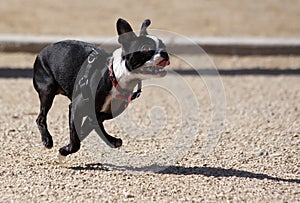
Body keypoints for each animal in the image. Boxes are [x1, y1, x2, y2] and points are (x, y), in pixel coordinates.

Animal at [32, 18, 170, 156]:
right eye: (146, 48)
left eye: (163, 45)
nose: (164, 52)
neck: (116, 77)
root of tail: (42, 51)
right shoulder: (76, 107)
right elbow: (77, 139)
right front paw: (66, 150)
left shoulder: (101, 113)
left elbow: (88, 126)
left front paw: (69, 146)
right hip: (47, 91)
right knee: (40, 117)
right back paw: (47, 139)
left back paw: (111, 140)